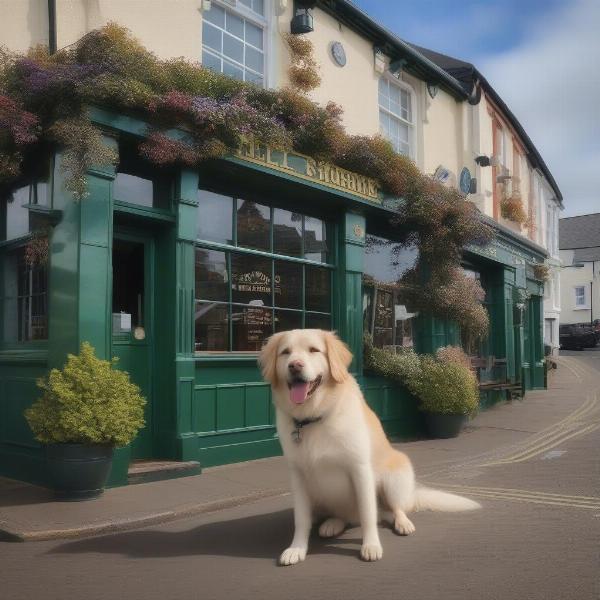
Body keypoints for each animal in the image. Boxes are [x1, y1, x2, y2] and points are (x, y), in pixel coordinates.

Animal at [258, 330, 482, 564]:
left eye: (313, 350)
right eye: (286, 352)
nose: (295, 366)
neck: (313, 419)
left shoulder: (360, 470)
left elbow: (368, 515)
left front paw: (371, 545)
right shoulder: (299, 477)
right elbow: (301, 520)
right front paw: (297, 549)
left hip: (393, 481)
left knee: (395, 509)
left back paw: (403, 523)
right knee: (345, 516)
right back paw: (332, 524)